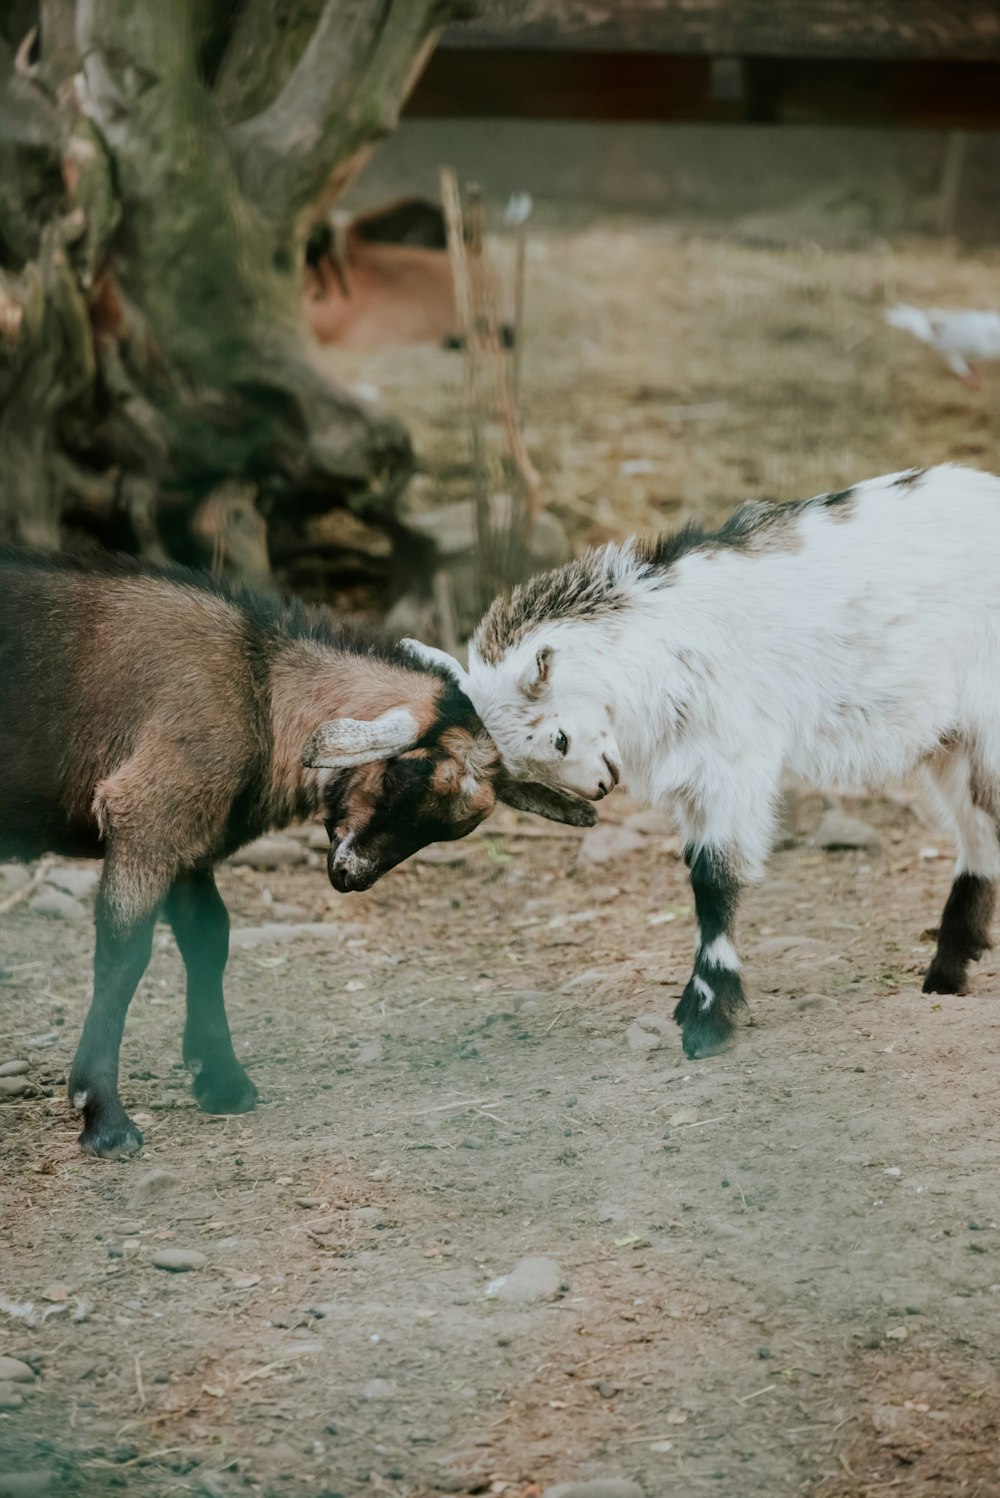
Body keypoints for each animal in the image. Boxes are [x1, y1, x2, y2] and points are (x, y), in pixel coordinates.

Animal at [0, 551, 592, 1156]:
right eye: (403, 772)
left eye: (449, 829)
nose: (351, 874)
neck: (256, 686)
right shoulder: (147, 814)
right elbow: (125, 954)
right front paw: (103, 1115)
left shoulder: (190, 839)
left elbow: (209, 939)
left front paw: (222, 1082)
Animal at [407, 461, 1000, 1060]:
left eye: (557, 740)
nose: (599, 787)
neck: (661, 645)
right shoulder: (691, 777)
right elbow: (698, 877)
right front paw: (692, 1003)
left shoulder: (730, 765)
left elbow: (716, 880)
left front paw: (709, 1020)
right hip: (950, 739)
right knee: (979, 831)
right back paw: (948, 972)